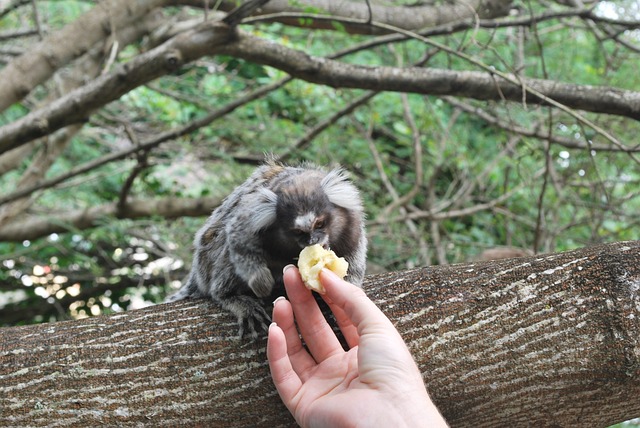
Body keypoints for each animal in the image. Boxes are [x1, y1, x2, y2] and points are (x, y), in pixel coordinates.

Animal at [165, 162, 368, 340]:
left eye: (319, 224)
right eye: (298, 232)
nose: (312, 241)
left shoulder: (352, 226)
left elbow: (355, 255)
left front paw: (348, 285)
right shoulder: (249, 220)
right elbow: (236, 240)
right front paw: (261, 282)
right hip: (206, 261)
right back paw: (230, 296)